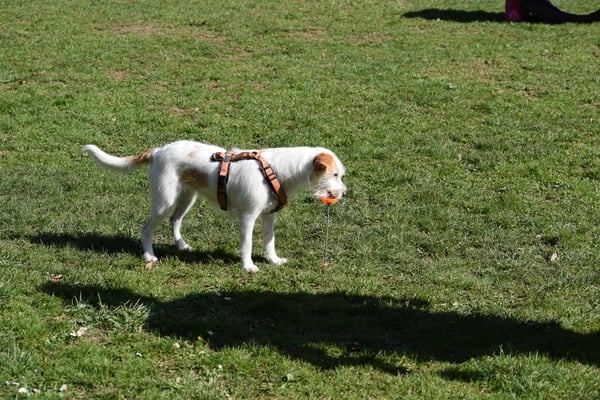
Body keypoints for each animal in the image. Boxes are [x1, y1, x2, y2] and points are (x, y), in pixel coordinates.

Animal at [81, 140, 346, 272]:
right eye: (334, 174)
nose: (344, 193)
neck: (275, 169)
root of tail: (157, 151)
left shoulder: (268, 216)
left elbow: (269, 242)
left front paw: (273, 260)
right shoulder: (248, 217)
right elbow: (248, 245)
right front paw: (248, 267)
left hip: (187, 199)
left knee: (175, 221)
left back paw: (181, 245)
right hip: (164, 201)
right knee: (146, 229)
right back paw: (149, 255)